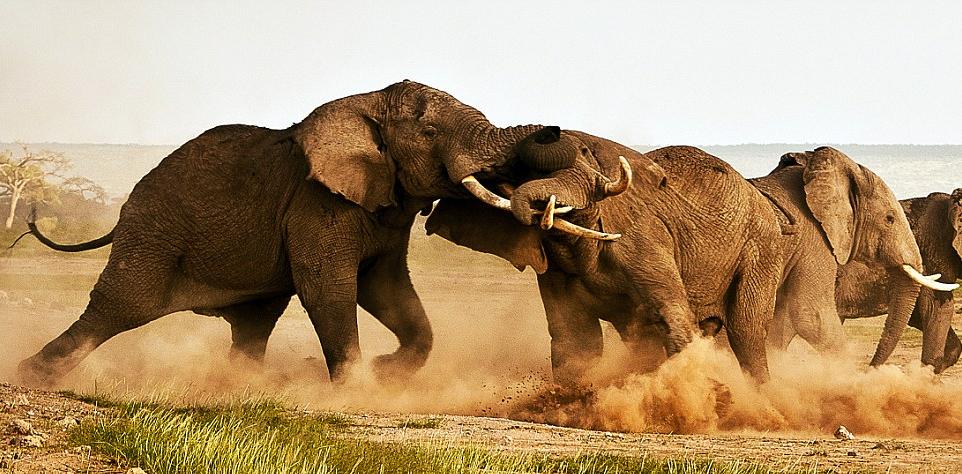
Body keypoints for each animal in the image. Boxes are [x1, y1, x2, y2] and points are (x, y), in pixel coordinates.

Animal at [15, 80, 574, 387]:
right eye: (431, 132)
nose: (555, 129)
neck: (368, 101)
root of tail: (125, 208)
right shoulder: (318, 202)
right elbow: (330, 286)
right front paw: (356, 387)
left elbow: (386, 288)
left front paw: (380, 372)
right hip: (154, 231)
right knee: (121, 305)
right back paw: (29, 376)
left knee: (255, 321)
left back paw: (238, 386)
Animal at [425, 126, 785, 383]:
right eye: (523, 173)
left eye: (586, 153)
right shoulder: (557, 271)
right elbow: (575, 336)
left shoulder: (644, 238)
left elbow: (673, 317)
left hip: (762, 249)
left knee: (746, 333)